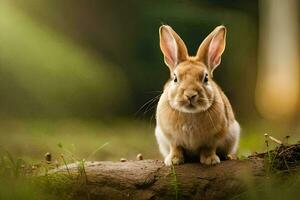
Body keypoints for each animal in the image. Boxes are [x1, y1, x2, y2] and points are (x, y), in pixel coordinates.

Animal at [156, 25, 240, 166]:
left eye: (205, 78)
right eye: (175, 78)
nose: (190, 95)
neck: (190, 113)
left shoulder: (212, 139)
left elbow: (208, 148)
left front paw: (210, 160)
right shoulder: (172, 138)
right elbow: (176, 147)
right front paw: (173, 160)